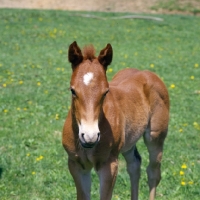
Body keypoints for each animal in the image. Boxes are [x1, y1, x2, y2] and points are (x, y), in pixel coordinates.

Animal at [62, 41, 169, 200]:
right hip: (129, 141)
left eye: (105, 92)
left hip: (155, 137)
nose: (90, 137)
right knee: (134, 165)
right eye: (73, 90)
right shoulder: (76, 165)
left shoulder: (109, 164)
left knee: (153, 173)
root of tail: (148, 73)